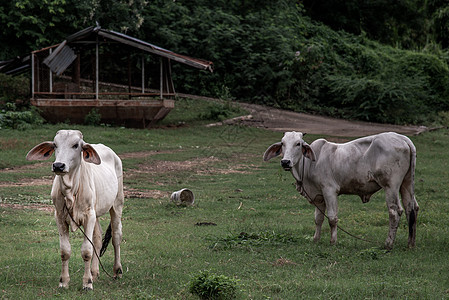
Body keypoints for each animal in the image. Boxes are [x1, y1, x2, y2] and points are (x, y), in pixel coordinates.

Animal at [26, 130, 124, 290]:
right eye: (55, 145)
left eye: (76, 145)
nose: (58, 165)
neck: (70, 190)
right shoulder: (60, 216)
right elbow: (65, 251)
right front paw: (64, 281)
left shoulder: (89, 216)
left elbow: (86, 251)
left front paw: (87, 283)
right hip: (96, 212)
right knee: (97, 239)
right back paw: (94, 273)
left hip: (117, 204)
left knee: (116, 237)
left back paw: (117, 271)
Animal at [264, 131, 418, 248]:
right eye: (283, 143)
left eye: (298, 144)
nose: (285, 162)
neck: (308, 164)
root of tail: (402, 138)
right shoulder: (319, 197)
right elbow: (318, 219)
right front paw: (315, 239)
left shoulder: (330, 190)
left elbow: (332, 218)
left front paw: (333, 242)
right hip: (406, 183)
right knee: (412, 208)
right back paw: (410, 243)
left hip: (390, 186)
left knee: (395, 211)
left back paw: (388, 243)